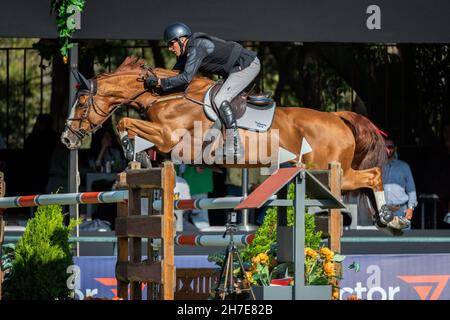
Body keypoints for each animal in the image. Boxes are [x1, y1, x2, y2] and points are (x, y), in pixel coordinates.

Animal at [60, 57, 400, 231]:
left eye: (81, 103)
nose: (66, 138)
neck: (167, 94)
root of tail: (338, 117)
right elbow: (133, 130)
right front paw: (139, 159)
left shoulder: (171, 137)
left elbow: (125, 124)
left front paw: (131, 151)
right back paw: (390, 218)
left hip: (332, 171)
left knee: (373, 176)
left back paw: (390, 218)